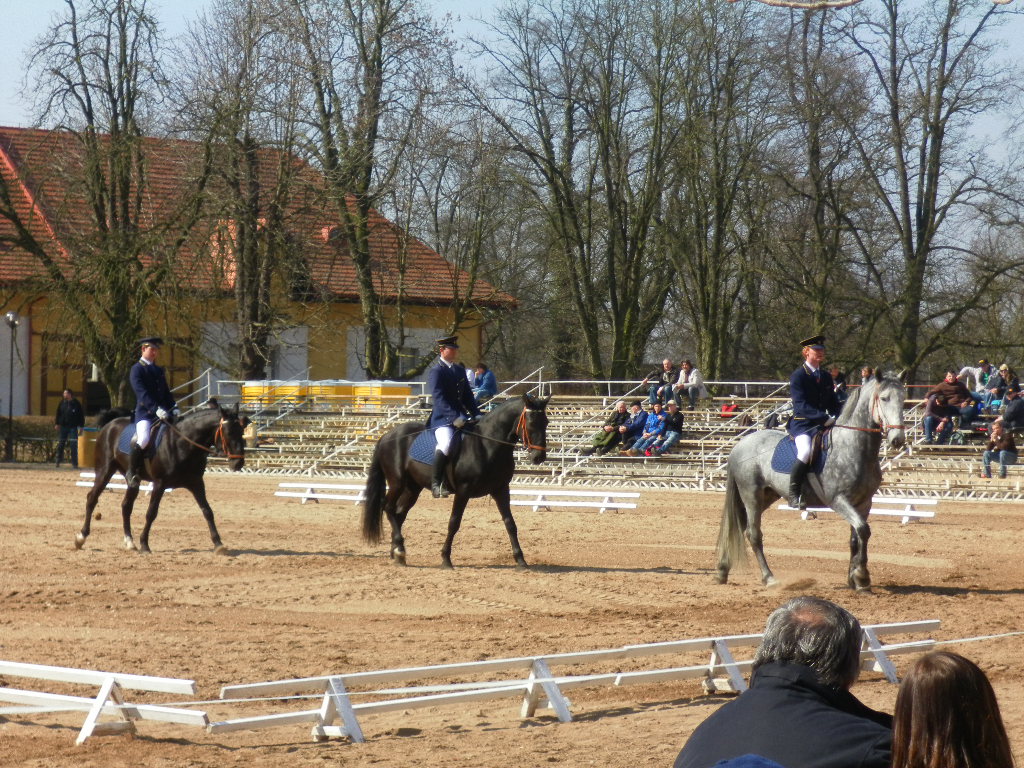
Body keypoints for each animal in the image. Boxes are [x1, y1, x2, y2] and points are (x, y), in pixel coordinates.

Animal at [74, 405, 247, 557]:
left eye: (242, 431)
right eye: (229, 432)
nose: (238, 463)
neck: (183, 443)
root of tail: (110, 424)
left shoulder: (196, 483)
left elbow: (207, 511)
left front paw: (218, 544)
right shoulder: (159, 484)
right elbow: (151, 513)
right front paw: (144, 544)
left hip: (133, 481)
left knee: (126, 506)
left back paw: (129, 542)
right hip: (105, 471)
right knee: (92, 498)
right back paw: (81, 537)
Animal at [362, 393, 552, 569]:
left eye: (546, 422)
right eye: (531, 423)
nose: (539, 457)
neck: (487, 446)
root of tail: (387, 435)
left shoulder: (501, 489)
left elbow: (510, 523)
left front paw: (520, 560)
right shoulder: (463, 490)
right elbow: (454, 523)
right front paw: (446, 558)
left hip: (412, 488)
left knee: (399, 513)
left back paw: (397, 552)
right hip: (397, 482)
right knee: (388, 507)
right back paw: (399, 550)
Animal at [712, 376, 905, 593]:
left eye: (903, 399)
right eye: (884, 398)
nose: (897, 440)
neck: (854, 447)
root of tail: (740, 444)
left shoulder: (864, 503)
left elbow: (856, 538)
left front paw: (853, 579)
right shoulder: (838, 500)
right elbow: (863, 530)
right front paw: (862, 577)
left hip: (766, 496)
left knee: (740, 528)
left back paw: (722, 570)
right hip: (751, 495)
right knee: (753, 534)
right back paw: (769, 578)